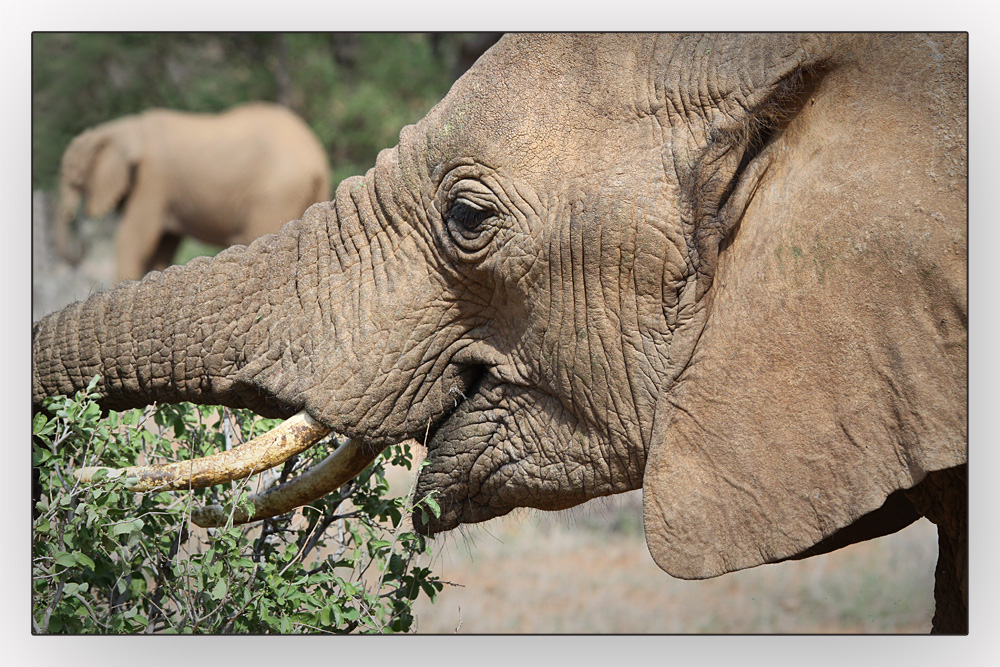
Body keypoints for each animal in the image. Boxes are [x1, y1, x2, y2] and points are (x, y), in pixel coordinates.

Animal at [54, 102, 330, 282]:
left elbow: (135, 238)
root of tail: (317, 157)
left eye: (75, 179)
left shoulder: (151, 180)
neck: (120, 127)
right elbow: (162, 246)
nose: (81, 247)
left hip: (275, 192)